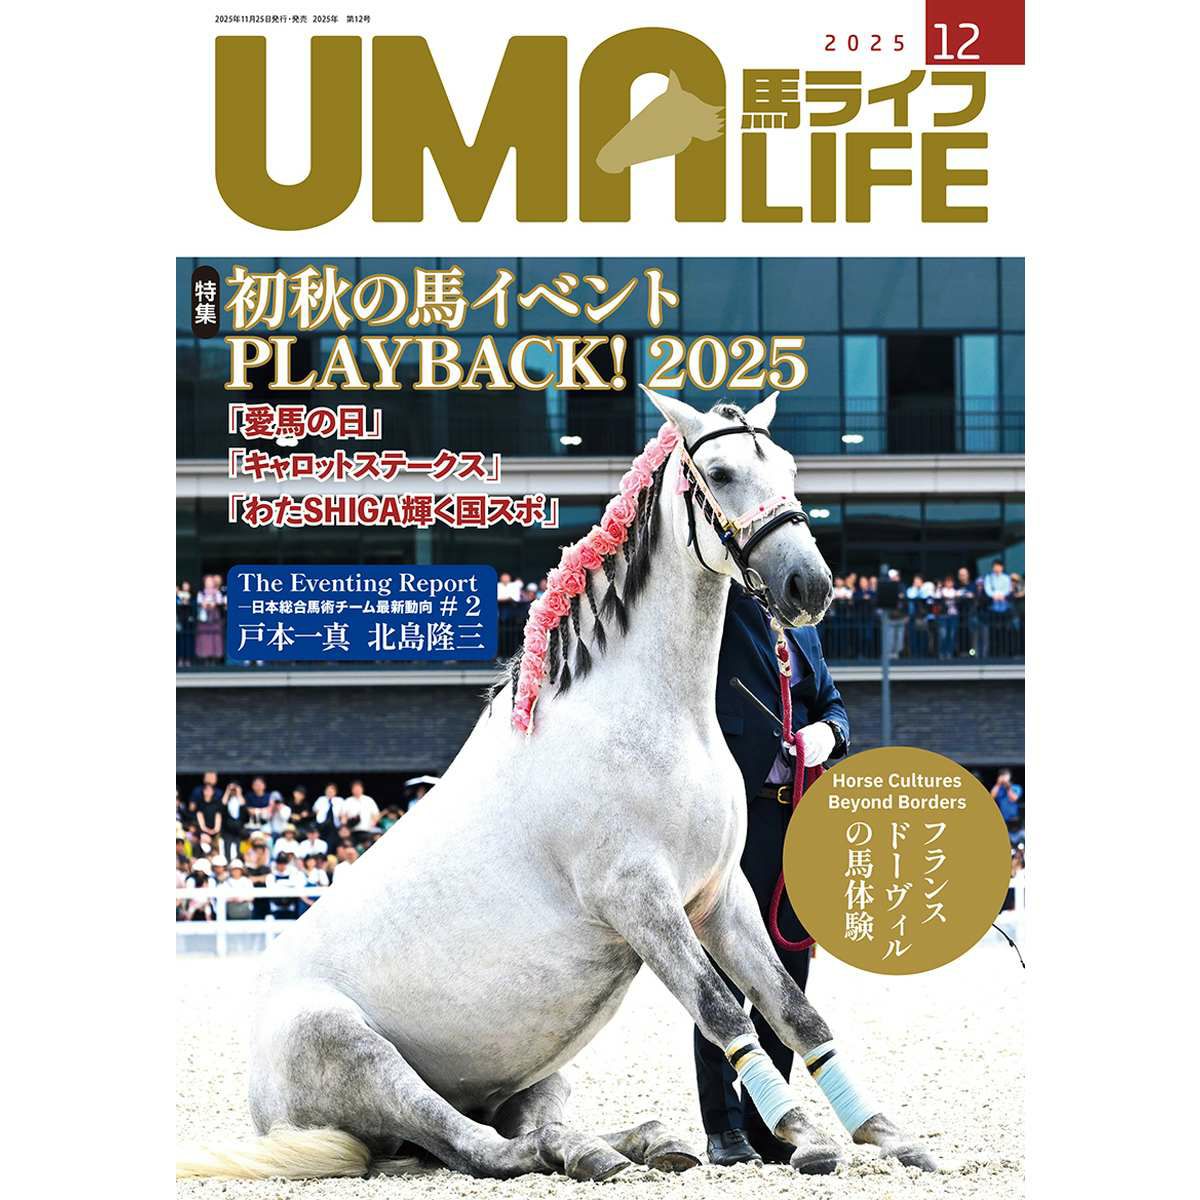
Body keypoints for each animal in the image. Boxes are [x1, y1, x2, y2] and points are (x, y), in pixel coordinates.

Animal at [177, 388, 937, 1182]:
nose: (808, 586)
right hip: (358, 1054)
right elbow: (723, 1012)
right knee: (477, 1145)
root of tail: (266, 1104)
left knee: (523, 1125)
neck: (649, 716)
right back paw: (587, 1152)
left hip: (537, 1072)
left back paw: (638, 1142)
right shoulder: (639, 901)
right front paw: (803, 1133)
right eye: (723, 473)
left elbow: (795, 1011)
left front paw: (884, 1134)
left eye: (788, 467)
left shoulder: (719, 897)